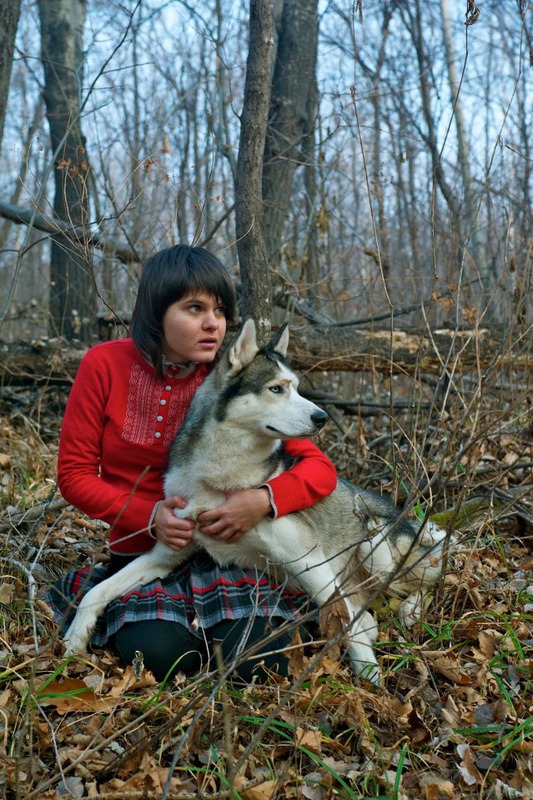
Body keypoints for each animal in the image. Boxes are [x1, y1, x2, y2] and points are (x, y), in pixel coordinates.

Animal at [62, 322, 446, 684]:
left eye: (296, 386)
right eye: (276, 388)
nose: (321, 417)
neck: (220, 478)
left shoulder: (308, 561)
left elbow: (350, 628)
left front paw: (369, 677)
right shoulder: (165, 554)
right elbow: (94, 592)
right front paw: (72, 643)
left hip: (375, 546)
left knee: (431, 579)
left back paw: (411, 611)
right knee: (367, 616)